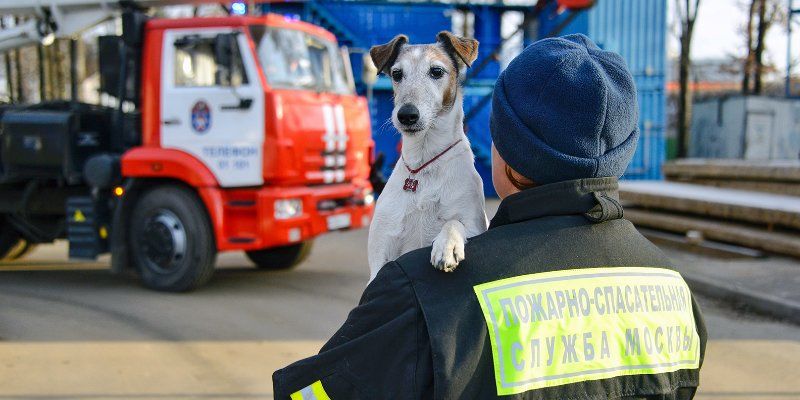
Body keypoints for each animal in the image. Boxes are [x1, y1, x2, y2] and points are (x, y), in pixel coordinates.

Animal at [368, 32, 488, 282]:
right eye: (396, 74)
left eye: (436, 71)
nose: (406, 115)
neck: (422, 166)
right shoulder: (379, 257)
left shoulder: (474, 224)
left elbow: (453, 222)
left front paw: (446, 246)